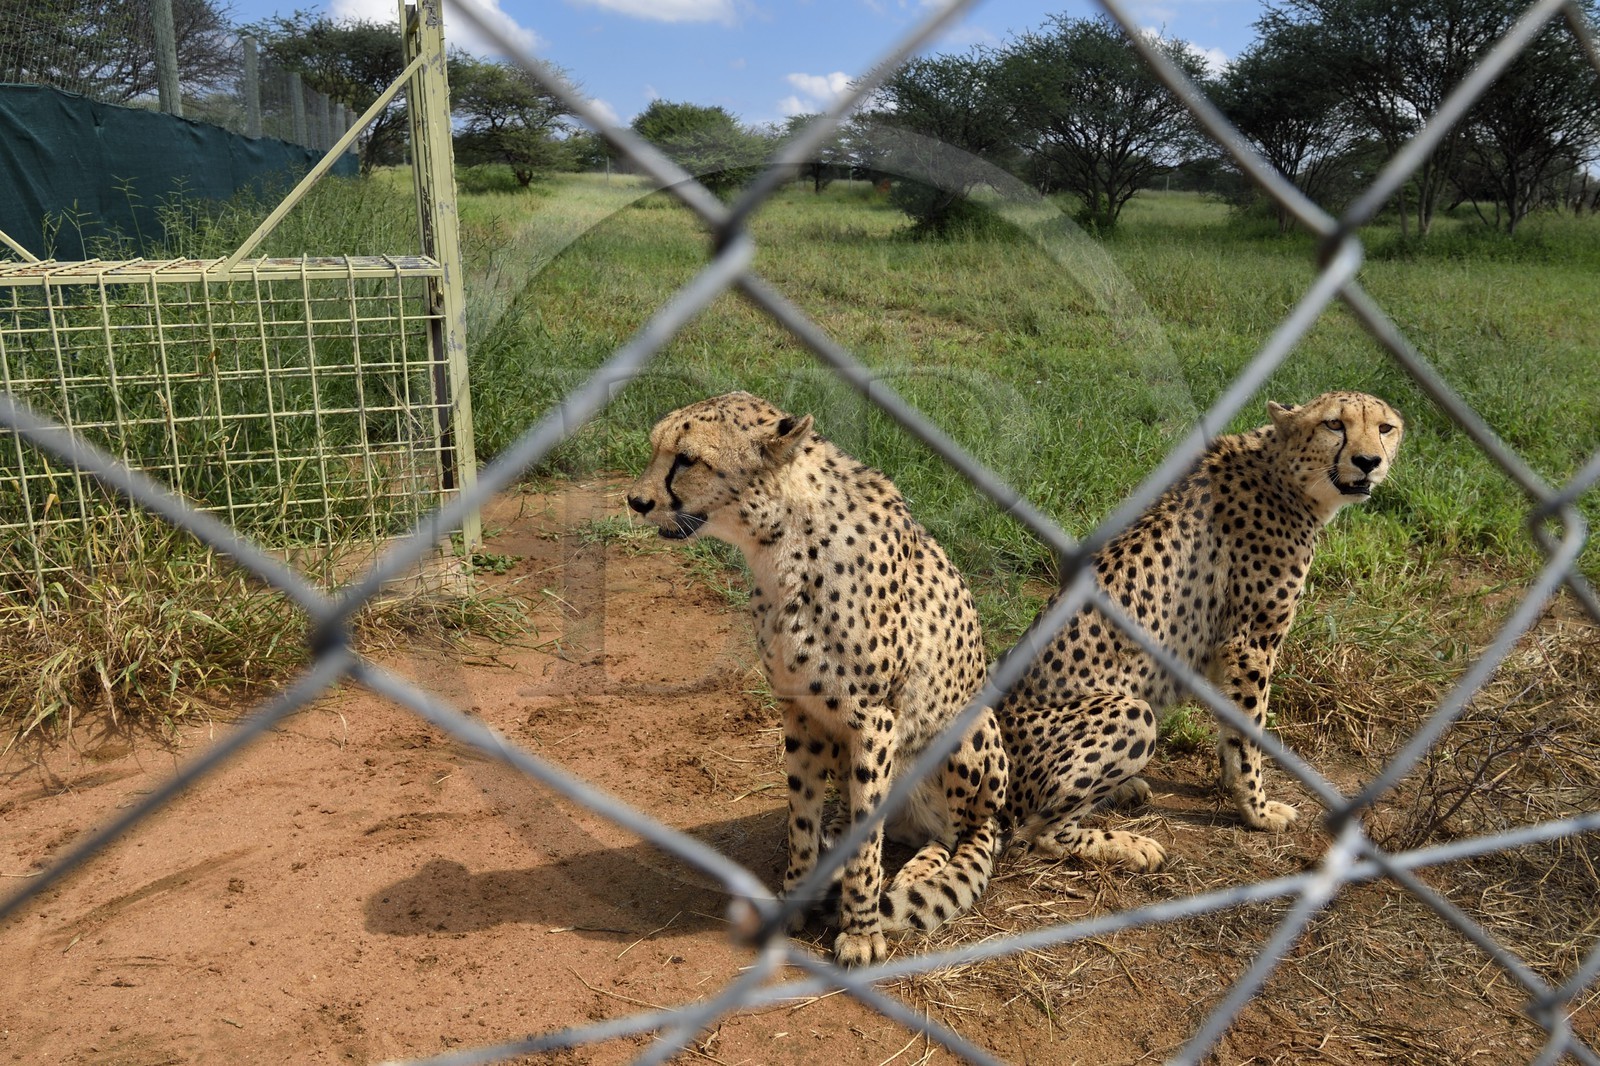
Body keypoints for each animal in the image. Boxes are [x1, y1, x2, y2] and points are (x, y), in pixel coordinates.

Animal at [627, 392, 1008, 967]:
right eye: (655, 448)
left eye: (688, 459)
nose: (636, 501)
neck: (780, 546)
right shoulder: (799, 709)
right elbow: (800, 817)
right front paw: (796, 898)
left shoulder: (875, 718)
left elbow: (868, 842)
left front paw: (861, 929)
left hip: (970, 730)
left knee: (954, 834)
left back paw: (919, 868)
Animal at [998, 391, 1404, 870]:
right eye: (1334, 424)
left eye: (1385, 428)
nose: (1368, 461)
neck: (1283, 471)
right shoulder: (1248, 644)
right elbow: (1249, 732)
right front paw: (1257, 811)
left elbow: (1231, 727)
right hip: (1130, 711)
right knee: (1036, 832)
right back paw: (1127, 845)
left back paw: (1125, 790)